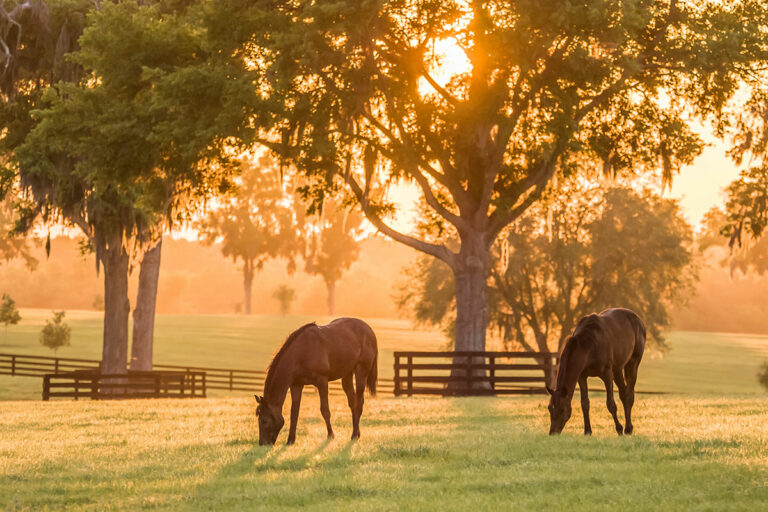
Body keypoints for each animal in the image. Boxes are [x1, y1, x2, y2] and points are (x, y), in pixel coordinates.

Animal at [546, 308, 646, 436]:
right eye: (549, 408)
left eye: (562, 409)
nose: (553, 433)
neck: (588, 345)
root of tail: (638, 319)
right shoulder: (582, 377)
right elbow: (585, 403)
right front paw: (587, 431)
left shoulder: (607, 375)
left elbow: (611, 404)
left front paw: (619, 429)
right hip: (617, 370)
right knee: (624, 393)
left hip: (633, 363)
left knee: (629, 394)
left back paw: (628, 429)